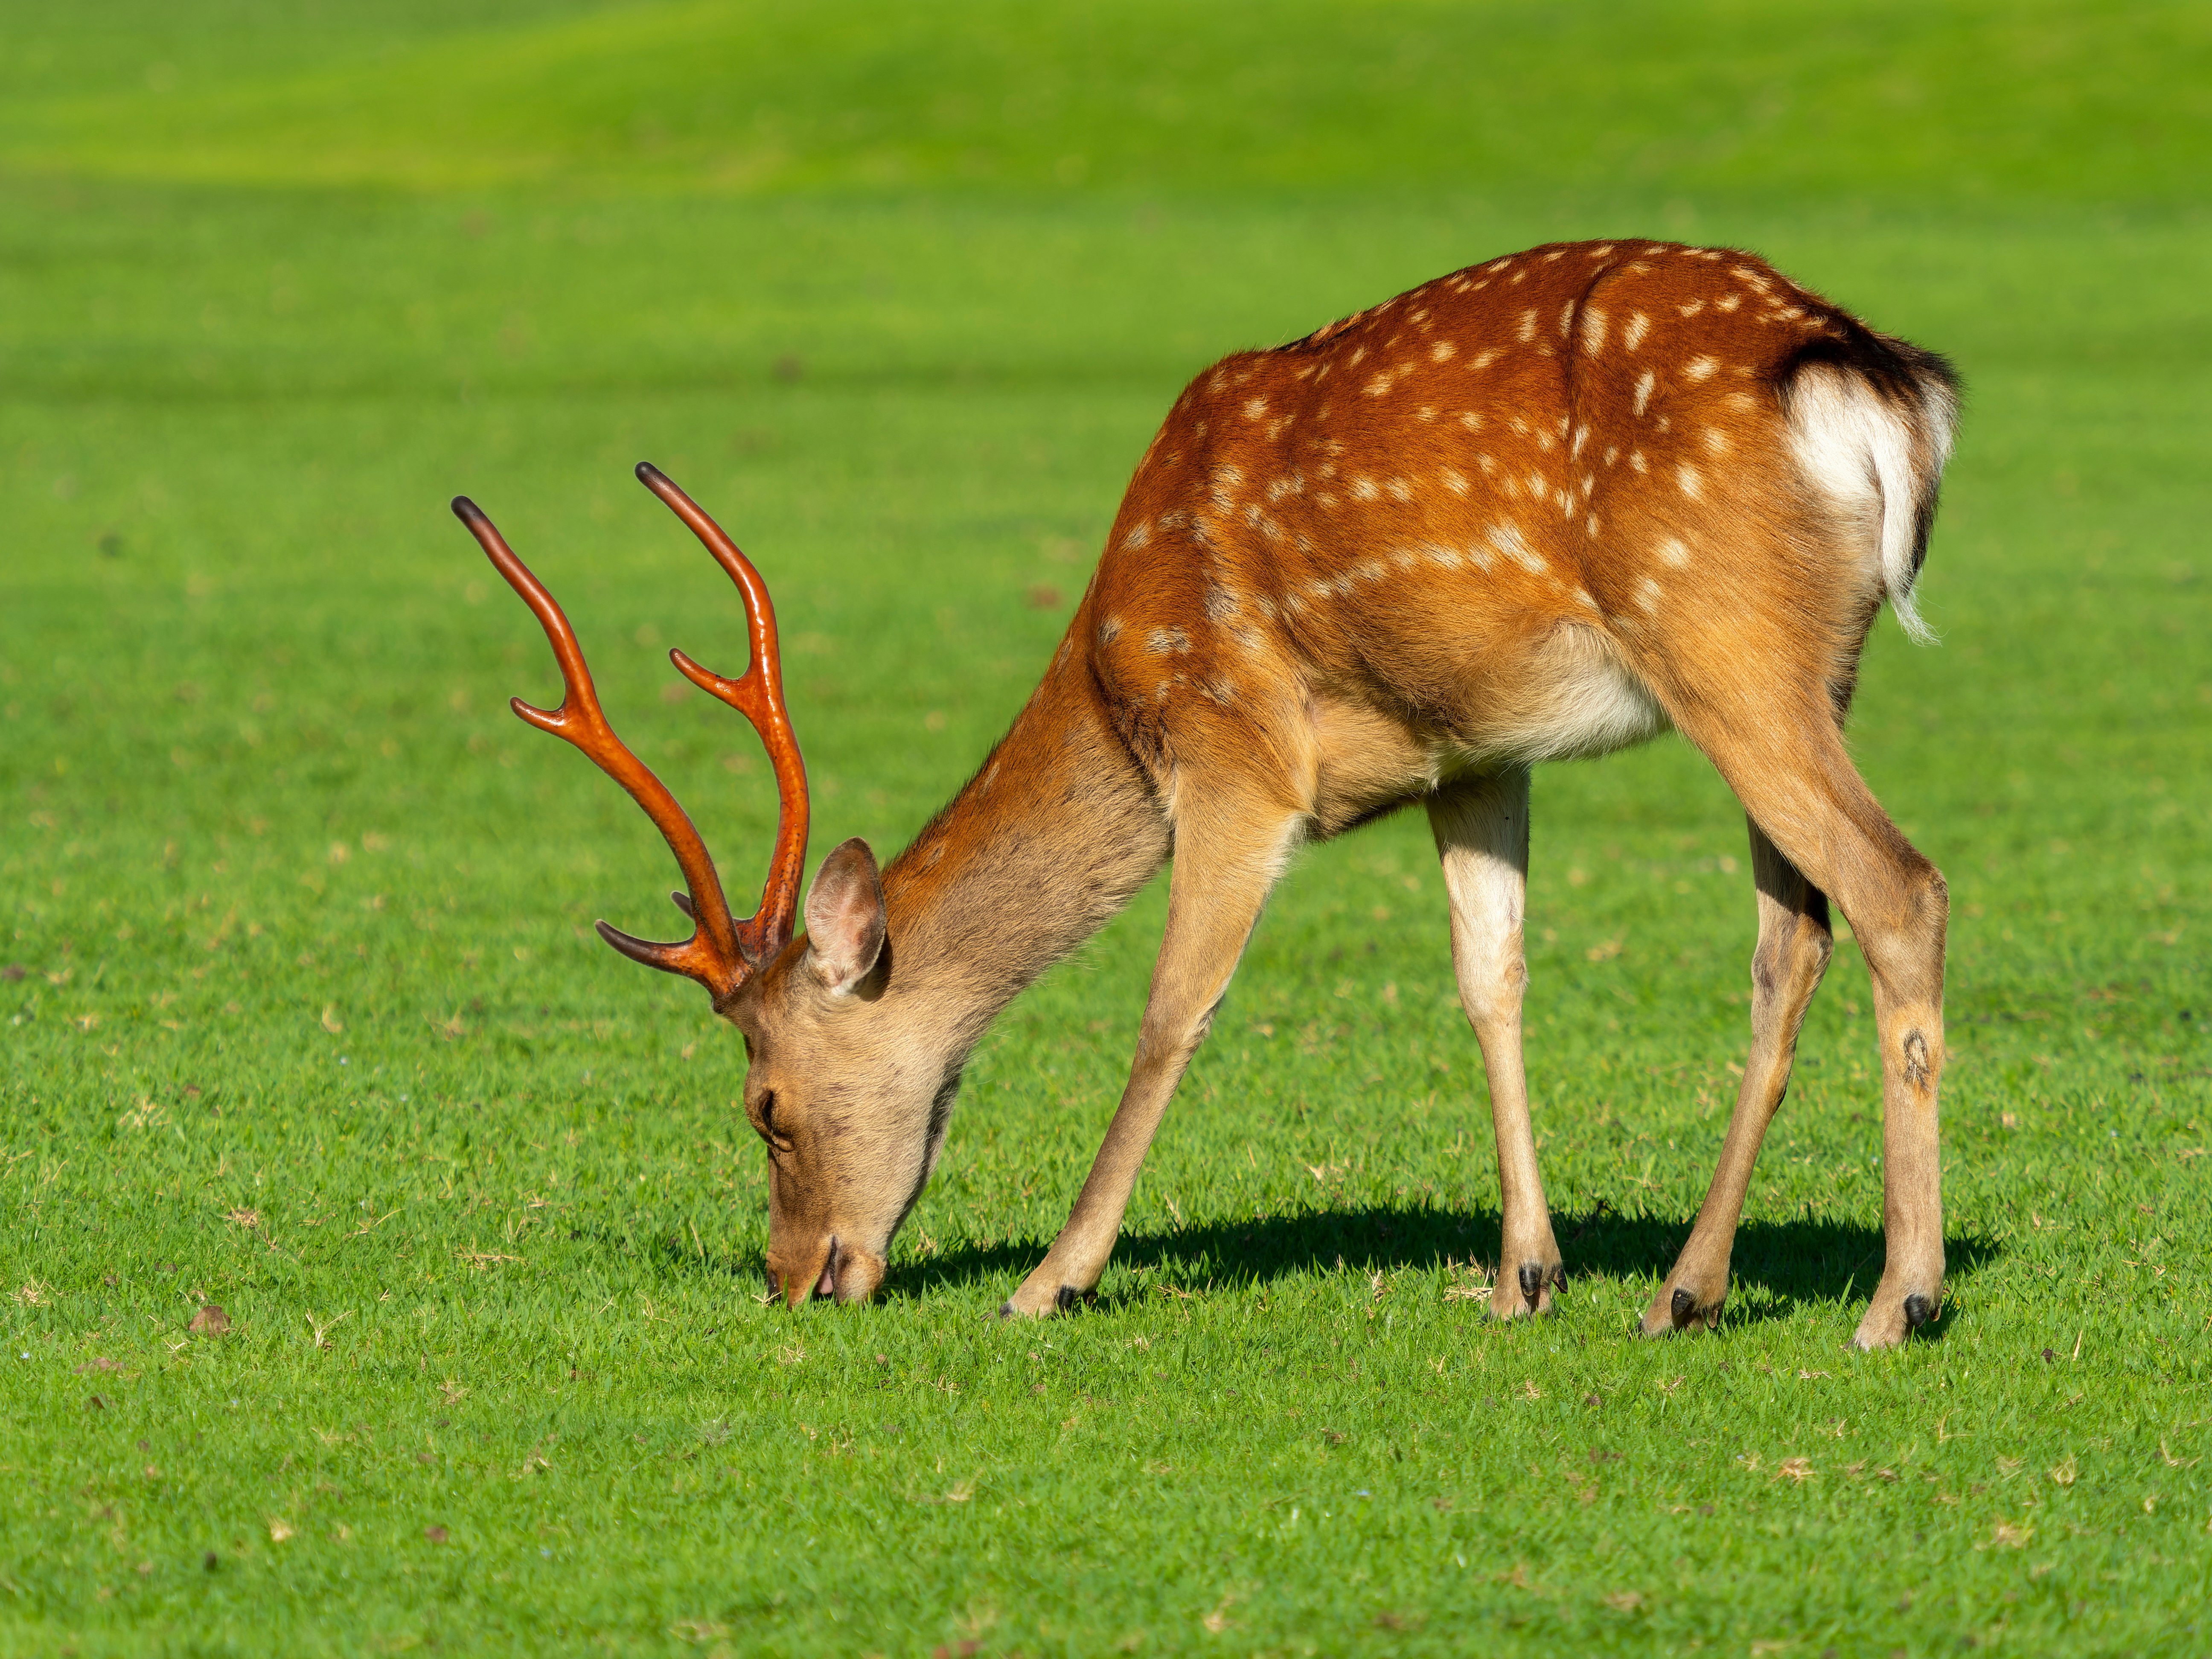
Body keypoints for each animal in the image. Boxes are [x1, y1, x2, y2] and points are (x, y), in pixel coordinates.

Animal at [453, 238, 1959, 1350]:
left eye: (763, 1105)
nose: (797, 1275)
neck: (1115, 671)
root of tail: (1880, 386)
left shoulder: (1235, 748)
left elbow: (1174, 1009)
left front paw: (1050, 1278)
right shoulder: (1473, 752)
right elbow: (1492, 977)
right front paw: (1524, 1275)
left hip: (1717, 630)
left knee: (1901, 887)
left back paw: (1900, 1297)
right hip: (1811, 668)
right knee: (1794, 938)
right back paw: (1685, 1288)